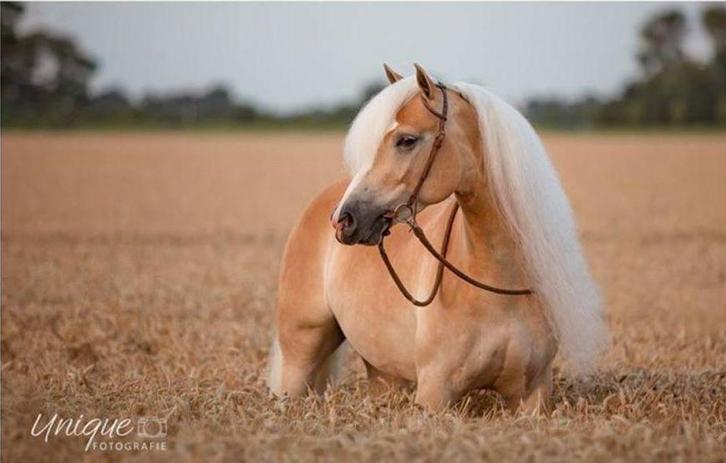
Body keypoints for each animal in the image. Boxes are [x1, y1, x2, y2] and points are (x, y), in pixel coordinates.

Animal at [267, 64, 607, 412]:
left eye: (407, 140)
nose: (345, 220)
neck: (499, 284)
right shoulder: (435, 393)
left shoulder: (533, 394)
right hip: (300, 356)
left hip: (382, 372)